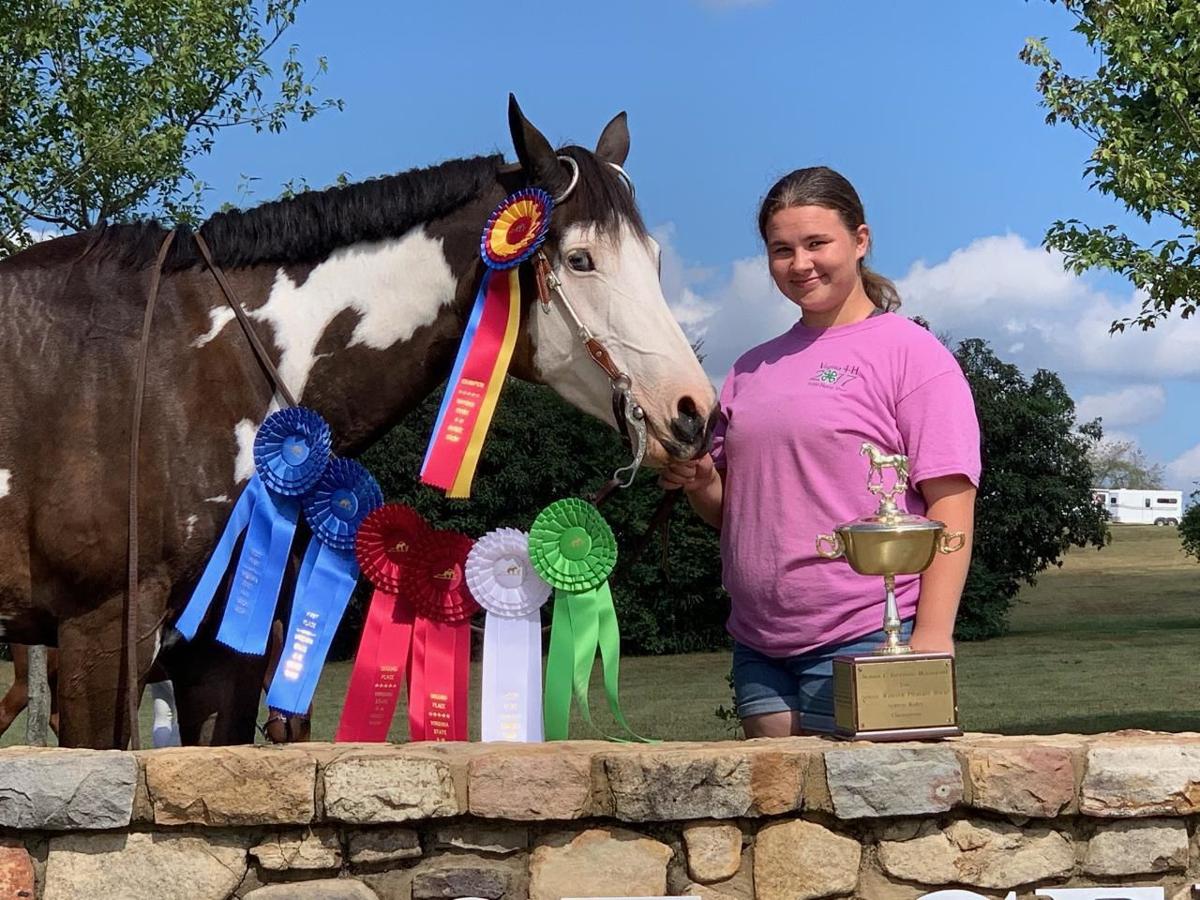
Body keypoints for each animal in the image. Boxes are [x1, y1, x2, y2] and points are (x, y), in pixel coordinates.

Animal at [0, 96, 716, 749]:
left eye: (655, 258)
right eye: (580, 260)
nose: (696, 415)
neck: (185, 370)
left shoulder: (216, 652)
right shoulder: (101, 630)